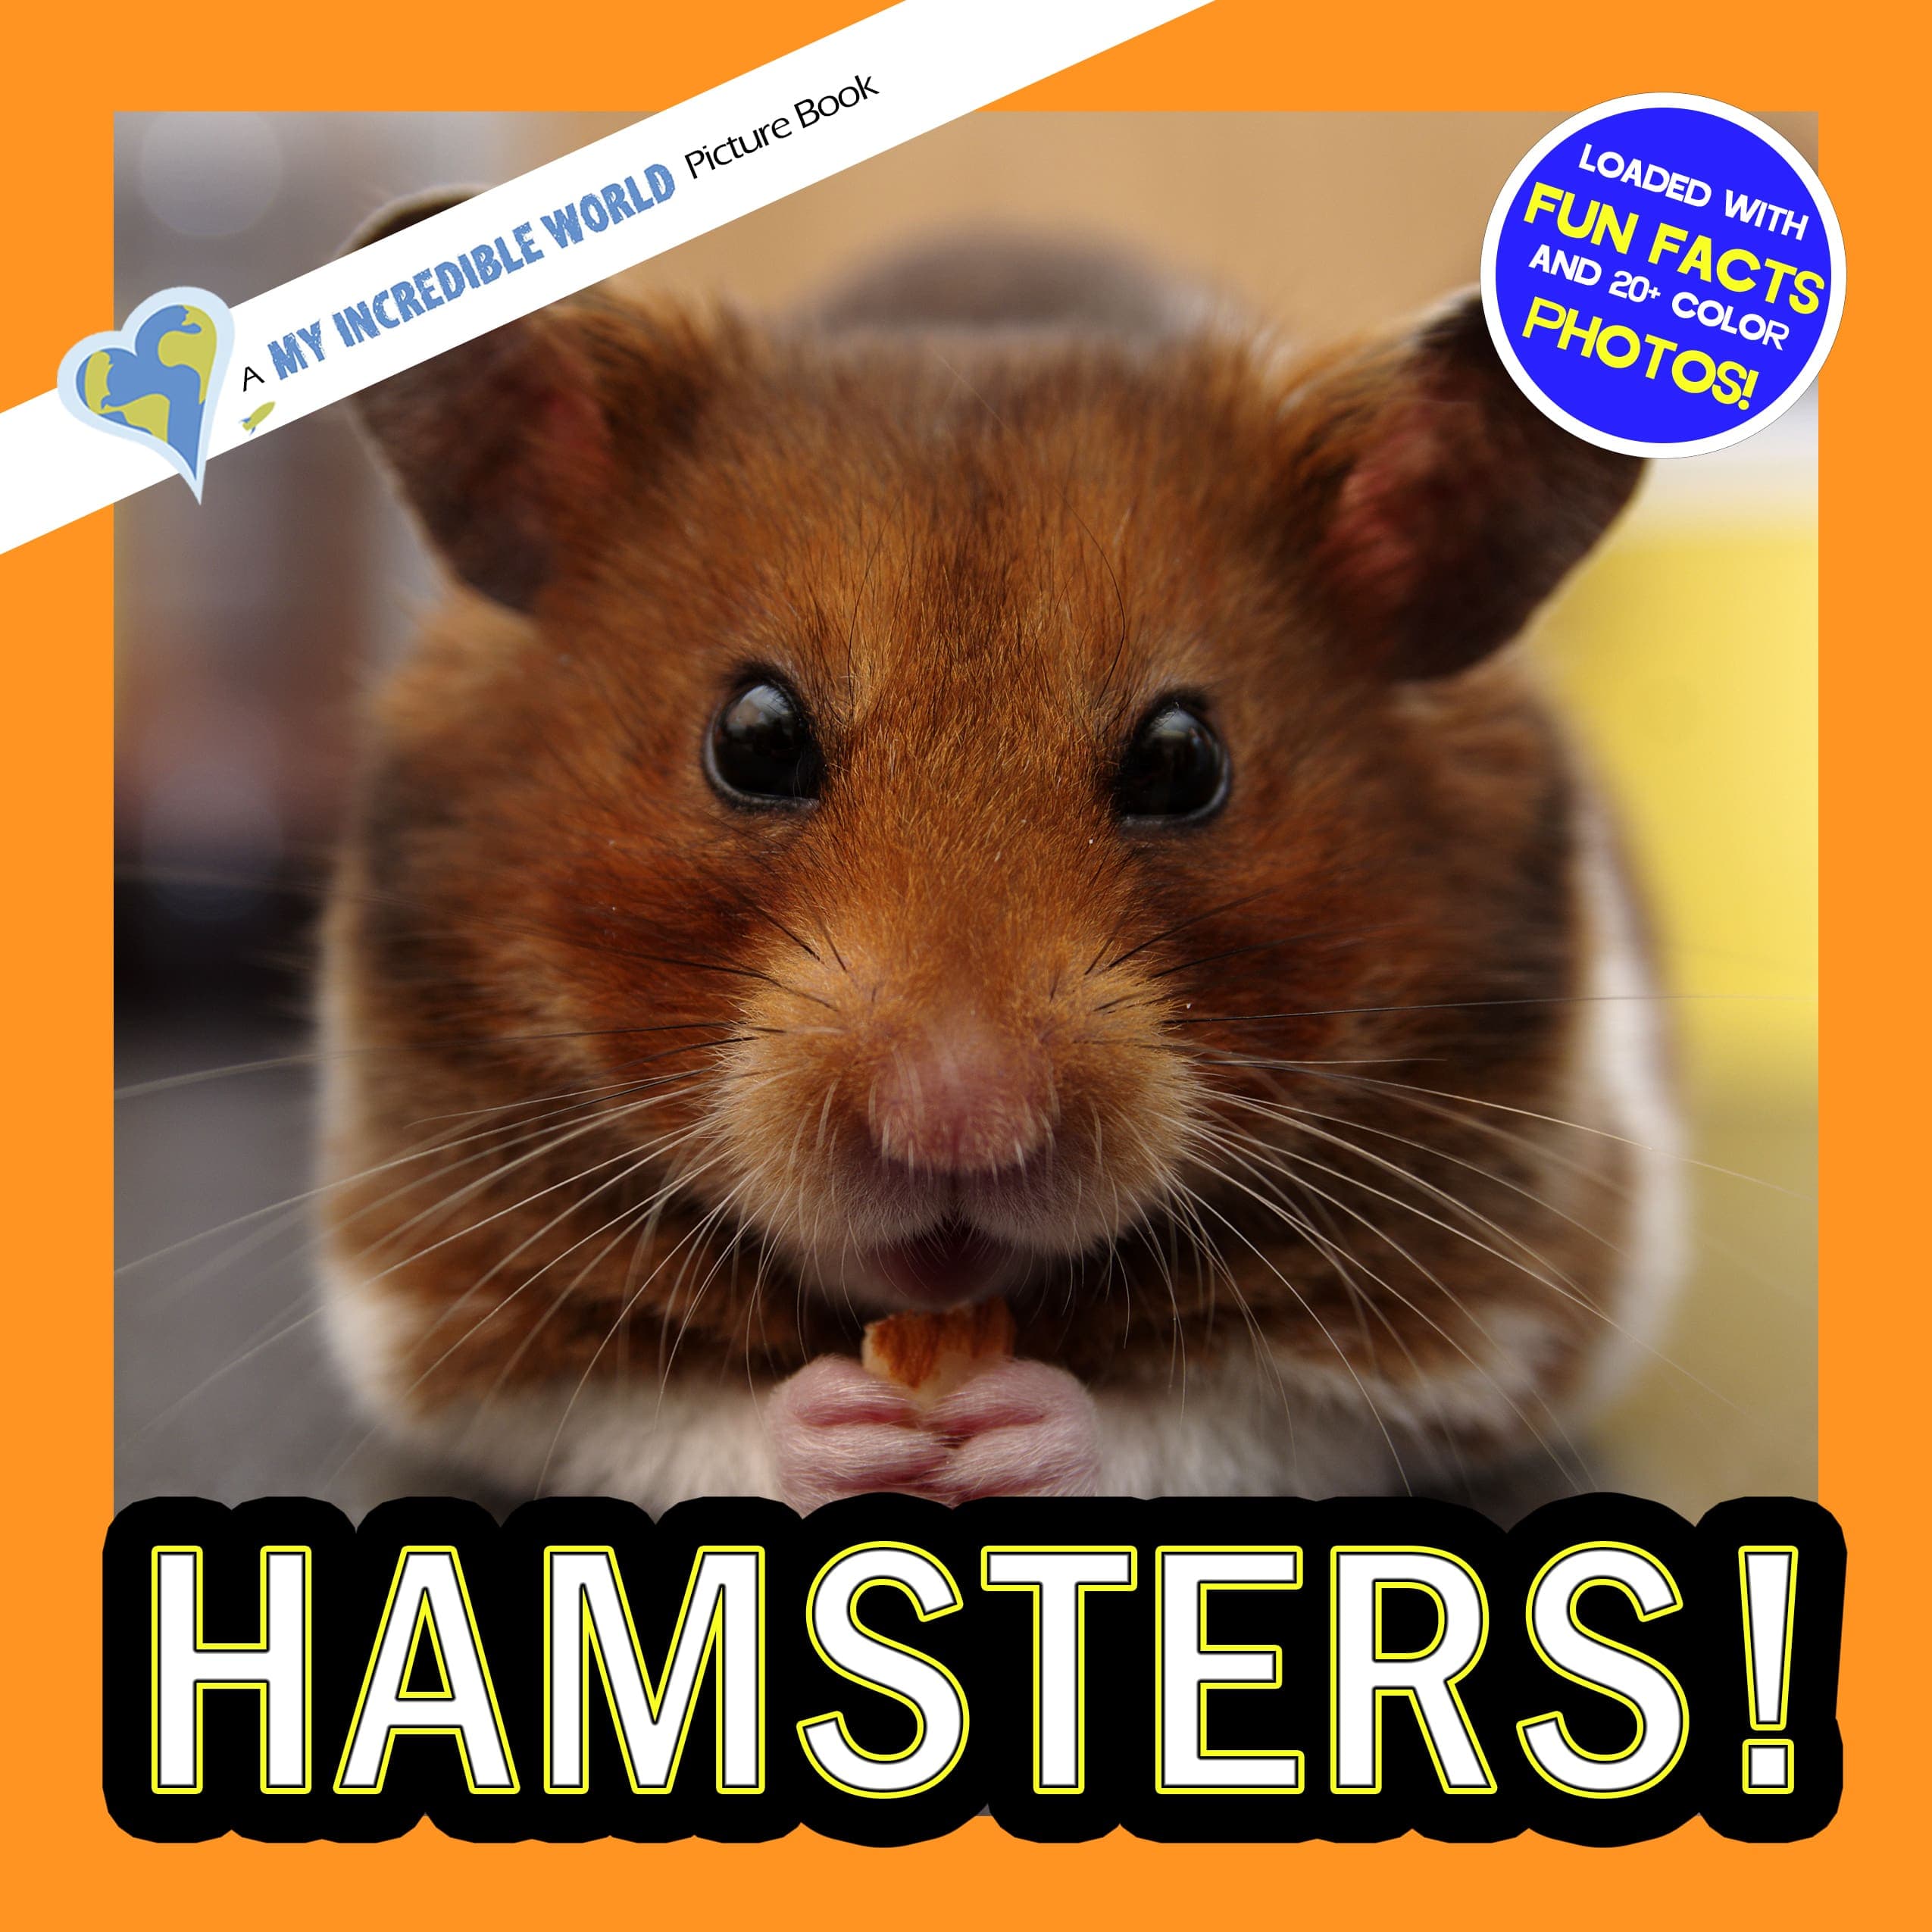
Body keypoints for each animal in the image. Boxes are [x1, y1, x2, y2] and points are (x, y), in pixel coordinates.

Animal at [316, 194, 1682, 1511]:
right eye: (753, 738)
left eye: (1183, 760)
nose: (956, 1125)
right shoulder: (436, 1306)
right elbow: (659, 1416)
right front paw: (850, 1430)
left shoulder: (1488, 1319)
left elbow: (1215, 1420)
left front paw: (1012, 1427)